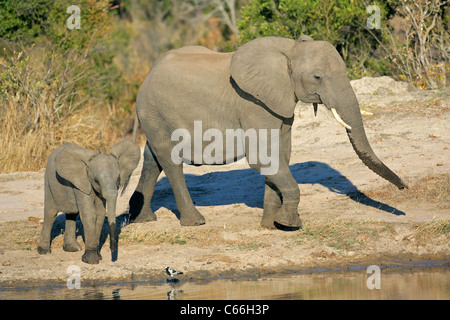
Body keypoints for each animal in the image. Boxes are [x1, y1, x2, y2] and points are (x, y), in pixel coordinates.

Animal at [129, 36, 408, 229]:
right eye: (317, 77)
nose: (404, 187)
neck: (290, 50)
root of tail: (146, 76)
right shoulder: (254, 104)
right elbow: (262, 158)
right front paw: (289, 224)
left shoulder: (280, 107)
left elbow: (280, 156)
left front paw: (272, 225)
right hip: (153, 110)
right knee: (170, 161)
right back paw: (195, 222)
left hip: (154, 115)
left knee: (153, 160)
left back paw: (141, 219)